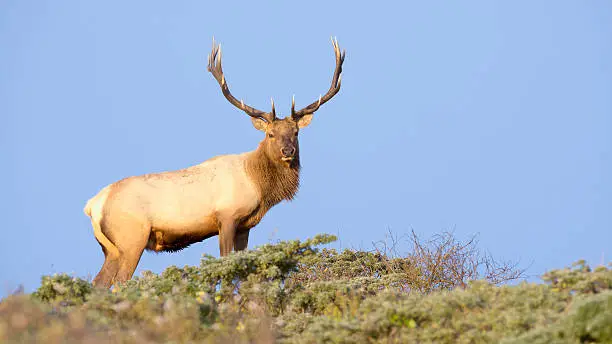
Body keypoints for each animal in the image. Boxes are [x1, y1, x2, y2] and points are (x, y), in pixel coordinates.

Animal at [83, 37, 346, 288]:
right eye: (270, 134)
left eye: (296, 132)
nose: (287, 150)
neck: (258, 185)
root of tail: (93, 205)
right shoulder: (227, 217)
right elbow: (225, 268)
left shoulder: (245, 226)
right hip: (131, 238)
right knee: (120, 281)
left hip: (112, 249)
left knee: (99, 283)